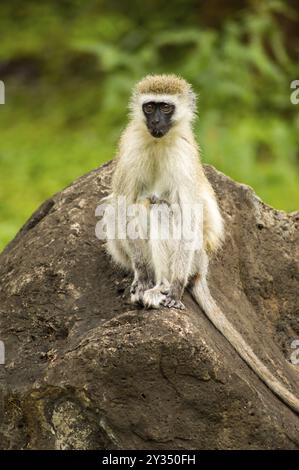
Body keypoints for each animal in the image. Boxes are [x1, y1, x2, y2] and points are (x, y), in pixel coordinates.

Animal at [105, 73, 299, 414]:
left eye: (166, 108)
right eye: (150, 107)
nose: (156, 122)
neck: (159, 143)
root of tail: (204, 265)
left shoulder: (182, 157)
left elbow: (188, 216)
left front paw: (173, 289)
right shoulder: (131, 147)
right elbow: (124, 204)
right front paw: (141, 277)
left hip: (194, 256)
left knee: (160, 208)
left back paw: (164, 286)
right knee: (136, 205)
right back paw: (148, 280)